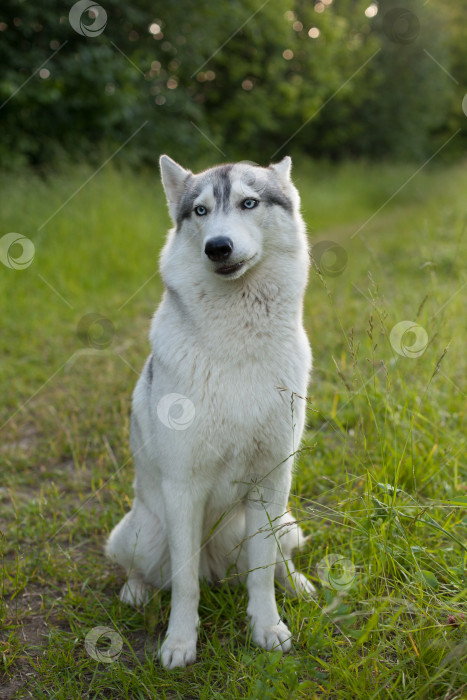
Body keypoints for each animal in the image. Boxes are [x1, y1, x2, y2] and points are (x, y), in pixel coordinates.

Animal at [107, 156, 314, 668]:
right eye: (200, 211)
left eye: (249, 202)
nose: (217, 247)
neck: (237, 342)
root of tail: (218, 568)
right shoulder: (185, 488)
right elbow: (184, 586)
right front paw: (180, 643)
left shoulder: (271, 482)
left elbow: (261, 574)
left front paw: (268, 628)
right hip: (141, 533)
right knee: (147, 571)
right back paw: (135, 593)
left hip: (285, 521)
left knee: (279, 560)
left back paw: (298, 585)